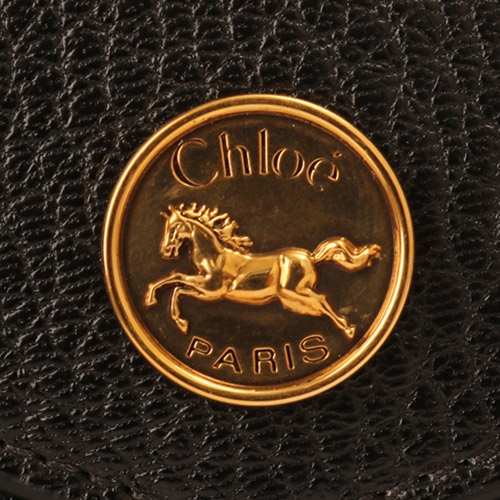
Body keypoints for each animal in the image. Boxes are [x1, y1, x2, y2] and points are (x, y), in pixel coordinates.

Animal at [144, 203, 381, 340]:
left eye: (174, 227)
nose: (165, 251)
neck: (214, 258)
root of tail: (311, 257)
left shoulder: (213, 291)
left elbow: (178, 285)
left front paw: (180, 322)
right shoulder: (204, 286)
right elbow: (176, 279)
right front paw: (152, 299)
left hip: (291, 292)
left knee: (321, 299)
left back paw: (348, 329)